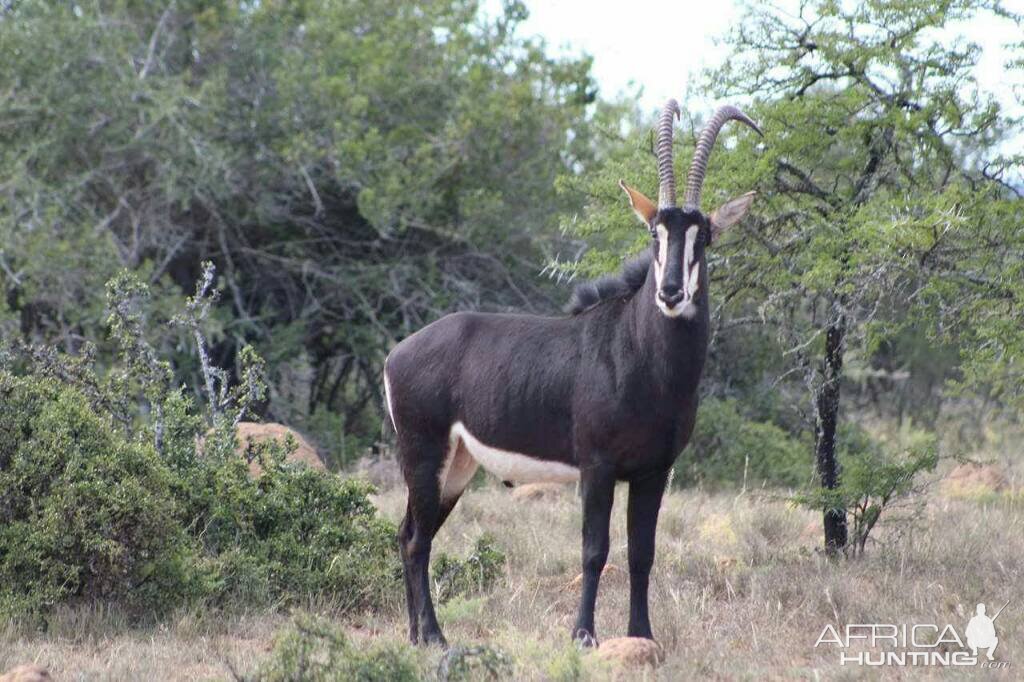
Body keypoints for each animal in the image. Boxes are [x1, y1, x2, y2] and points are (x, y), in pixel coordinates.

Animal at [385, 99, 761, 643]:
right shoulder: (597, 468)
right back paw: (434, 636)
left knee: (411, 532)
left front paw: (641, 635)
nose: (670, 292)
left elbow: (642, 554)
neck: (641, 358)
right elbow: (595, 551)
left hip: (456, 466)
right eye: (655, 232)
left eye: (703, 236)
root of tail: (398, 354)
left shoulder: (654, 473)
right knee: (417, 541)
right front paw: (583, 635)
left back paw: (417, 636)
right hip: (424, 454)